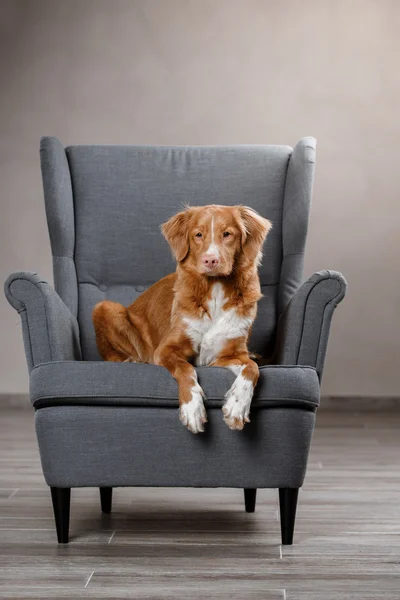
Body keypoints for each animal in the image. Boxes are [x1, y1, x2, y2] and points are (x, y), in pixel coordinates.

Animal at [93, 204, 272, 434]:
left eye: (227, 234)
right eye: (198, 235)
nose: (210, 260)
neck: (215, 288)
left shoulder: (226, 355)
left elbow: (252, 368)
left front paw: (236, 407)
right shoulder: (166, 349)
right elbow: (186, 368)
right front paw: (192, 409)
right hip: (105, 307)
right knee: (113, 355)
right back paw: (133, 360)